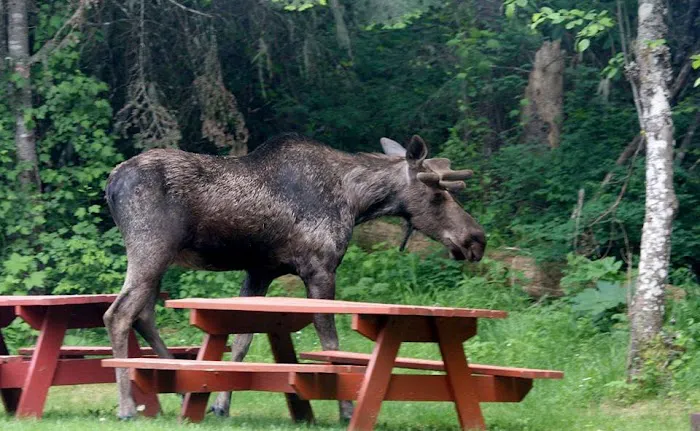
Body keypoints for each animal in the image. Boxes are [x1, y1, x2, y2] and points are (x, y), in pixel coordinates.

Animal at [103, 132, 485, 421]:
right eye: (437, 194)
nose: (476, 239)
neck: (357, 201)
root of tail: (111, 183)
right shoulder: (319, 268)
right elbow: (331, 344)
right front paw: (346, 410)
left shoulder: (260, 270)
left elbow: (242, 341)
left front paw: (221, 403)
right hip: (151, 248)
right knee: (118, 313)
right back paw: (127, 407)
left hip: (158, 258)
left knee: (143, 314)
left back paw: (181, 390)